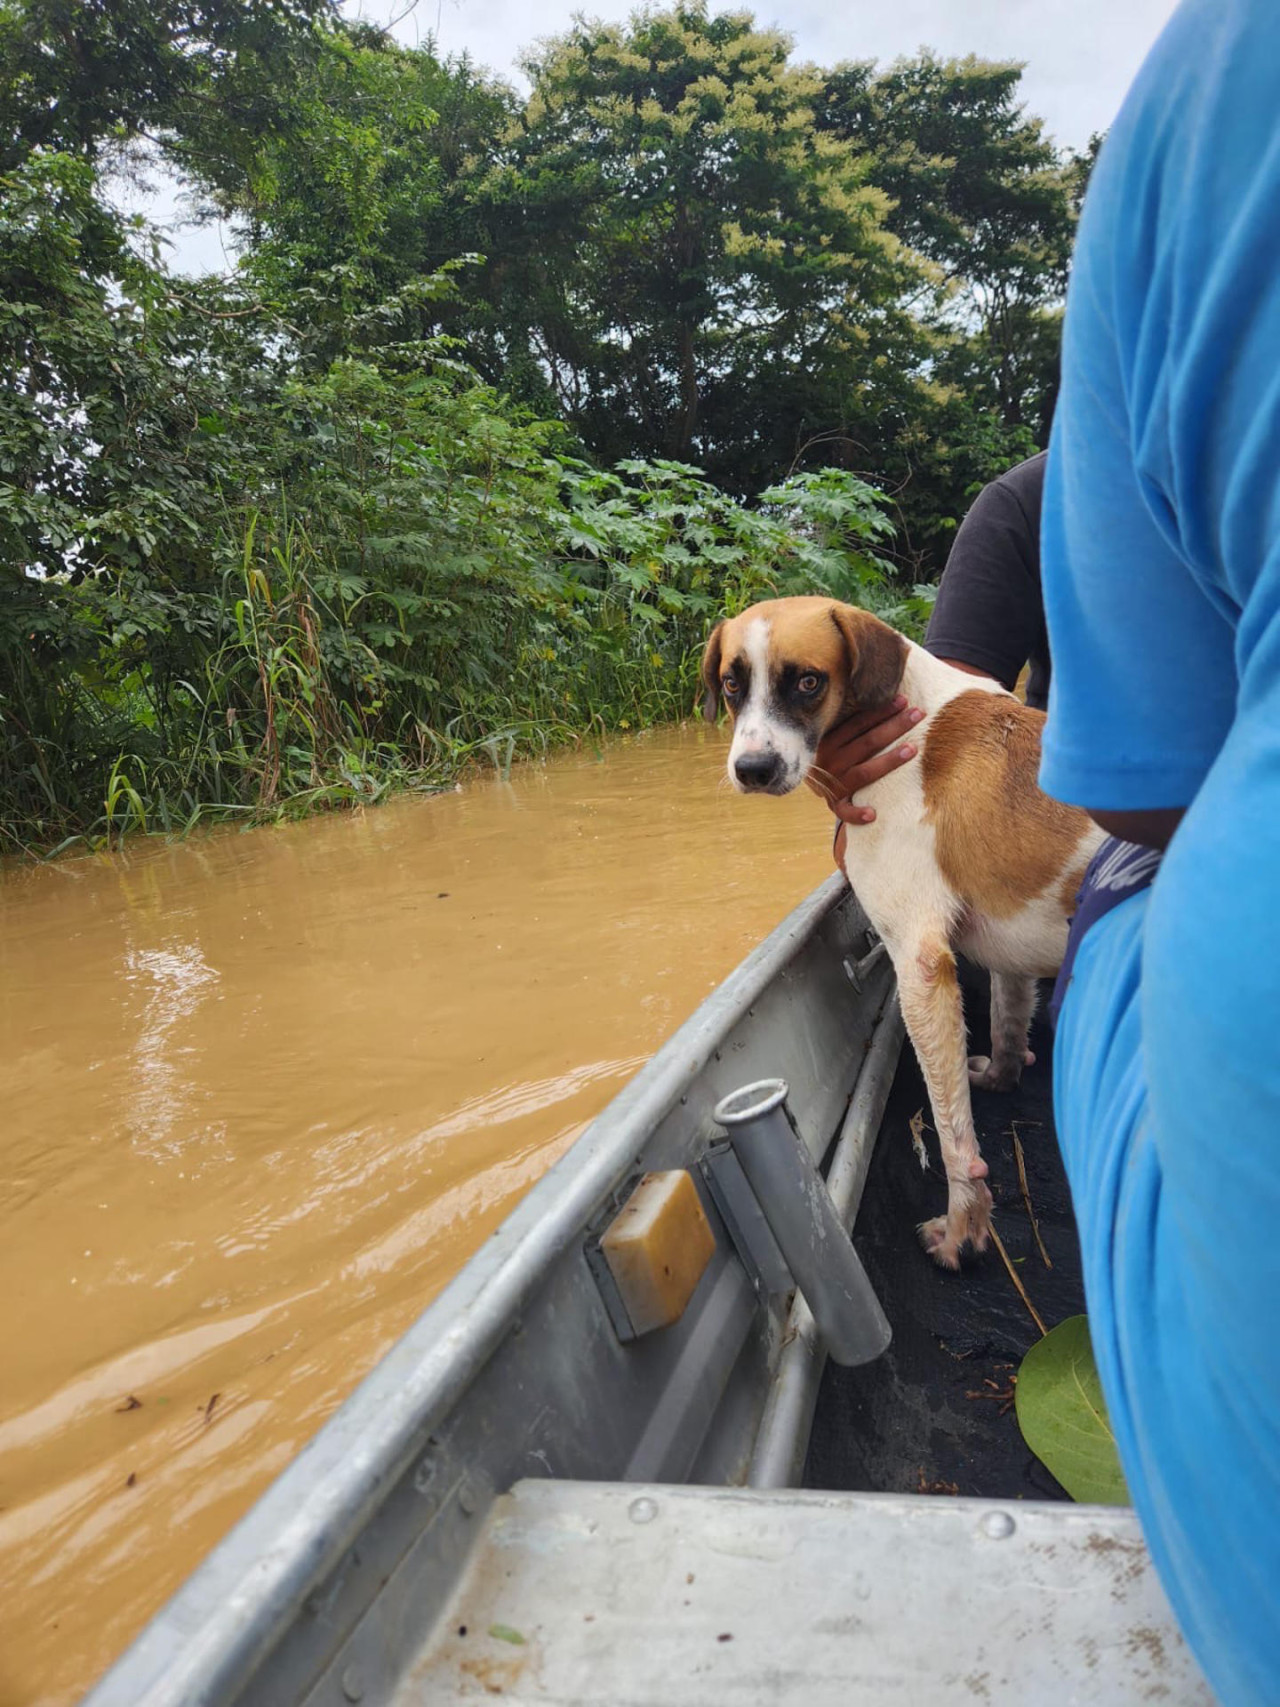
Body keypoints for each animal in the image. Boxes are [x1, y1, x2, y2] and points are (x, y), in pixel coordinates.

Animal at [703, 600, 1105, 1270]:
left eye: (807, 682)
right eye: (732, 684)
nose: (752, 769)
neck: (902, 732)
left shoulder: (919, 965)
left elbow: (953, 1135)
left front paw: (963, 1230)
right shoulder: (1009, 945)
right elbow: (1005, 1021)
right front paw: (1000, 1077)